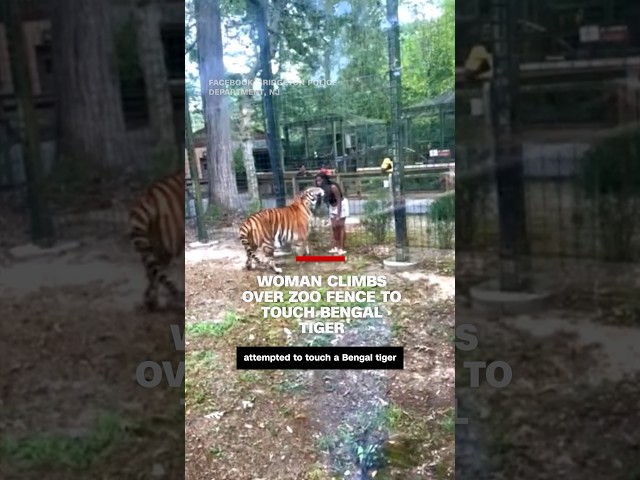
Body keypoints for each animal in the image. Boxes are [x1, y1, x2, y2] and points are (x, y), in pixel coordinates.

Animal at [129, 169, 185, 312]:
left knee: (152, 273)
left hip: (153, 244)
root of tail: (148, 197)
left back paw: (150, 303)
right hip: (170, 244)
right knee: (158, 274)